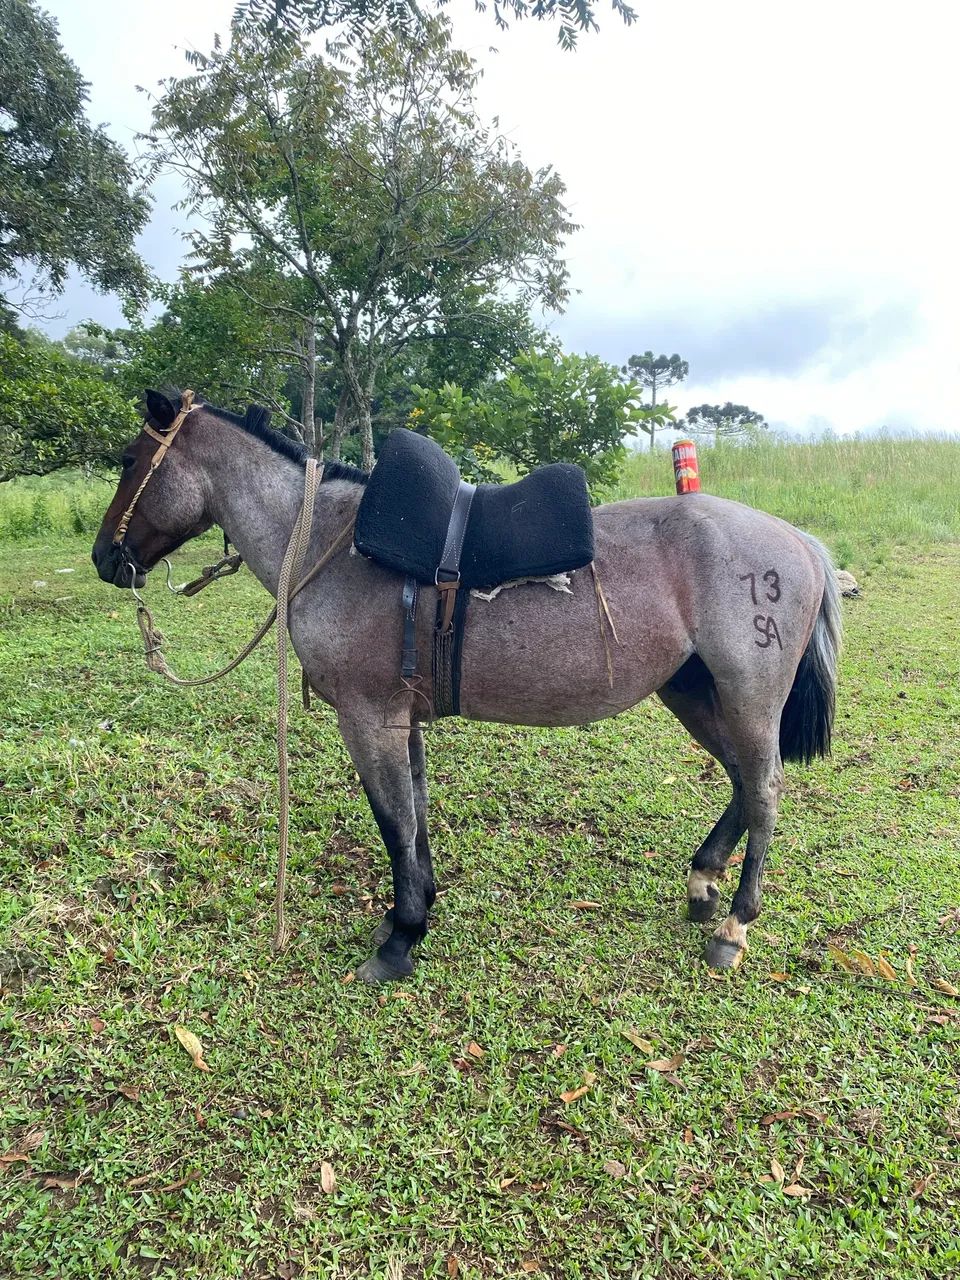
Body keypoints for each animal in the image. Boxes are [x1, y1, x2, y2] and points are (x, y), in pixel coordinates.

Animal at [92, 390, 842, 984]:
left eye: (129, 460)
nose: (105, 558)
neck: (332, 543)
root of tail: (801, 543)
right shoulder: (401, 719)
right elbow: (415, 816)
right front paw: (419, 907)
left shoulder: (368, 719)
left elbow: (394, 823)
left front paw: (400, 938)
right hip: (694, 693)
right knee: (743, 782)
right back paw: (703, 883)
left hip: (748, 696)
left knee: (765, 789)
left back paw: (734, 927)